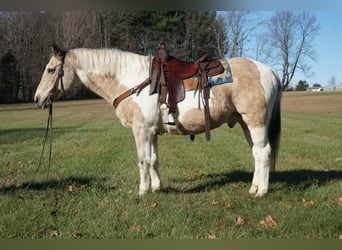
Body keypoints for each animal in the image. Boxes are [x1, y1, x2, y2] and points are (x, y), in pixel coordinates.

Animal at [34, 45, 280, 197]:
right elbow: (153, 160)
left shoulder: (141, 130)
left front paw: (142, 190)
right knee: (256, 153)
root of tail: (269, 70)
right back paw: (254, 187)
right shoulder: (152, 132)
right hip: (245, 123)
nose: (37, 99)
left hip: (256, 122)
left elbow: (142, 160)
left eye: (51, 69)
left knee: (264, 152)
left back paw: (261, 191)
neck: (130, 80)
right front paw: (156, 188)